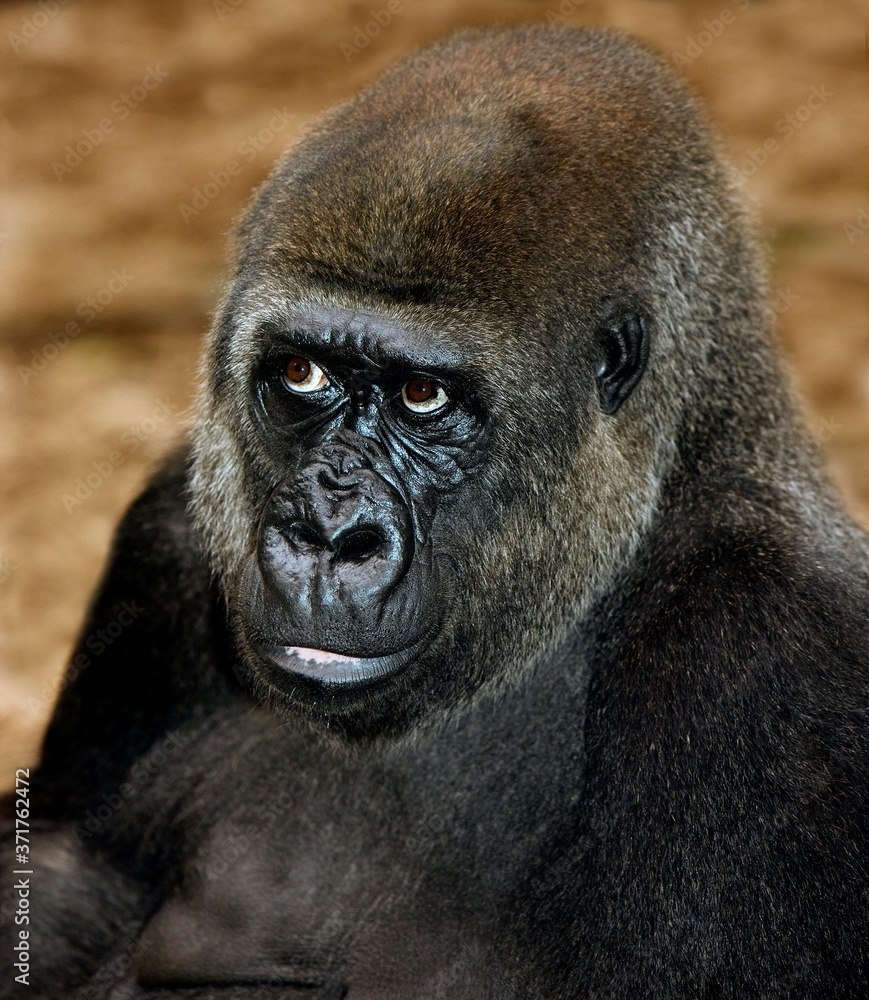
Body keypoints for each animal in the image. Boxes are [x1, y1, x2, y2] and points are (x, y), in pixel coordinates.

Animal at [1, 23, 866, 999]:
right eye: (303, 373)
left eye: (423, 395)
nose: (330, 535)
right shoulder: (171, 532)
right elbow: (64, 873)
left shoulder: (766, 646)